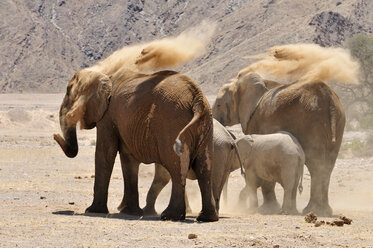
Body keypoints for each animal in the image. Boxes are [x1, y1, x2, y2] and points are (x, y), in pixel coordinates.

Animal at [54, 68, 218, 223]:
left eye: (68, 92)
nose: (55, 136)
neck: (104, 74)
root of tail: (197, 99)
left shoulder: (107, 116)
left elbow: (105, 154)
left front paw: (92, 211)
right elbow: (128, 160)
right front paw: (130, 212)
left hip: (172, 123)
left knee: (177, 169)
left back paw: (170, 216)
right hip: (205, 126)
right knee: (205, 169)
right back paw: (206, 218)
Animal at [211, 71, 344, 215]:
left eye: (218, 105)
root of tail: (329, 100)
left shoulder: (257, 120)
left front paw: (267, 209)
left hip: (312, 123)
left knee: (316, 165)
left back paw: (312, 210)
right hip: (338, 123)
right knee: (327, 166)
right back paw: (322, 212)